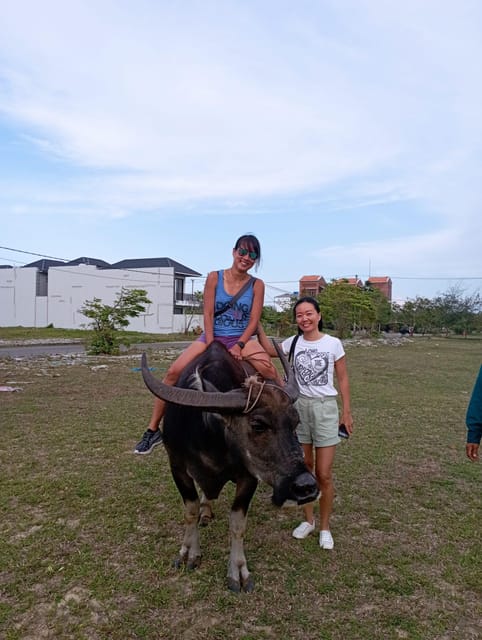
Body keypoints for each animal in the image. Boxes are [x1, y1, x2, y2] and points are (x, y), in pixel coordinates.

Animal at [141, 338, 318, 592]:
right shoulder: (177, 467)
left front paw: (238, 570)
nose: (306, 486)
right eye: (258, 424)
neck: (208, 437)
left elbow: (237, 523)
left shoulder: (249, 476)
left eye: (295, 422)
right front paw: (189, 553)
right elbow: (190, 510)